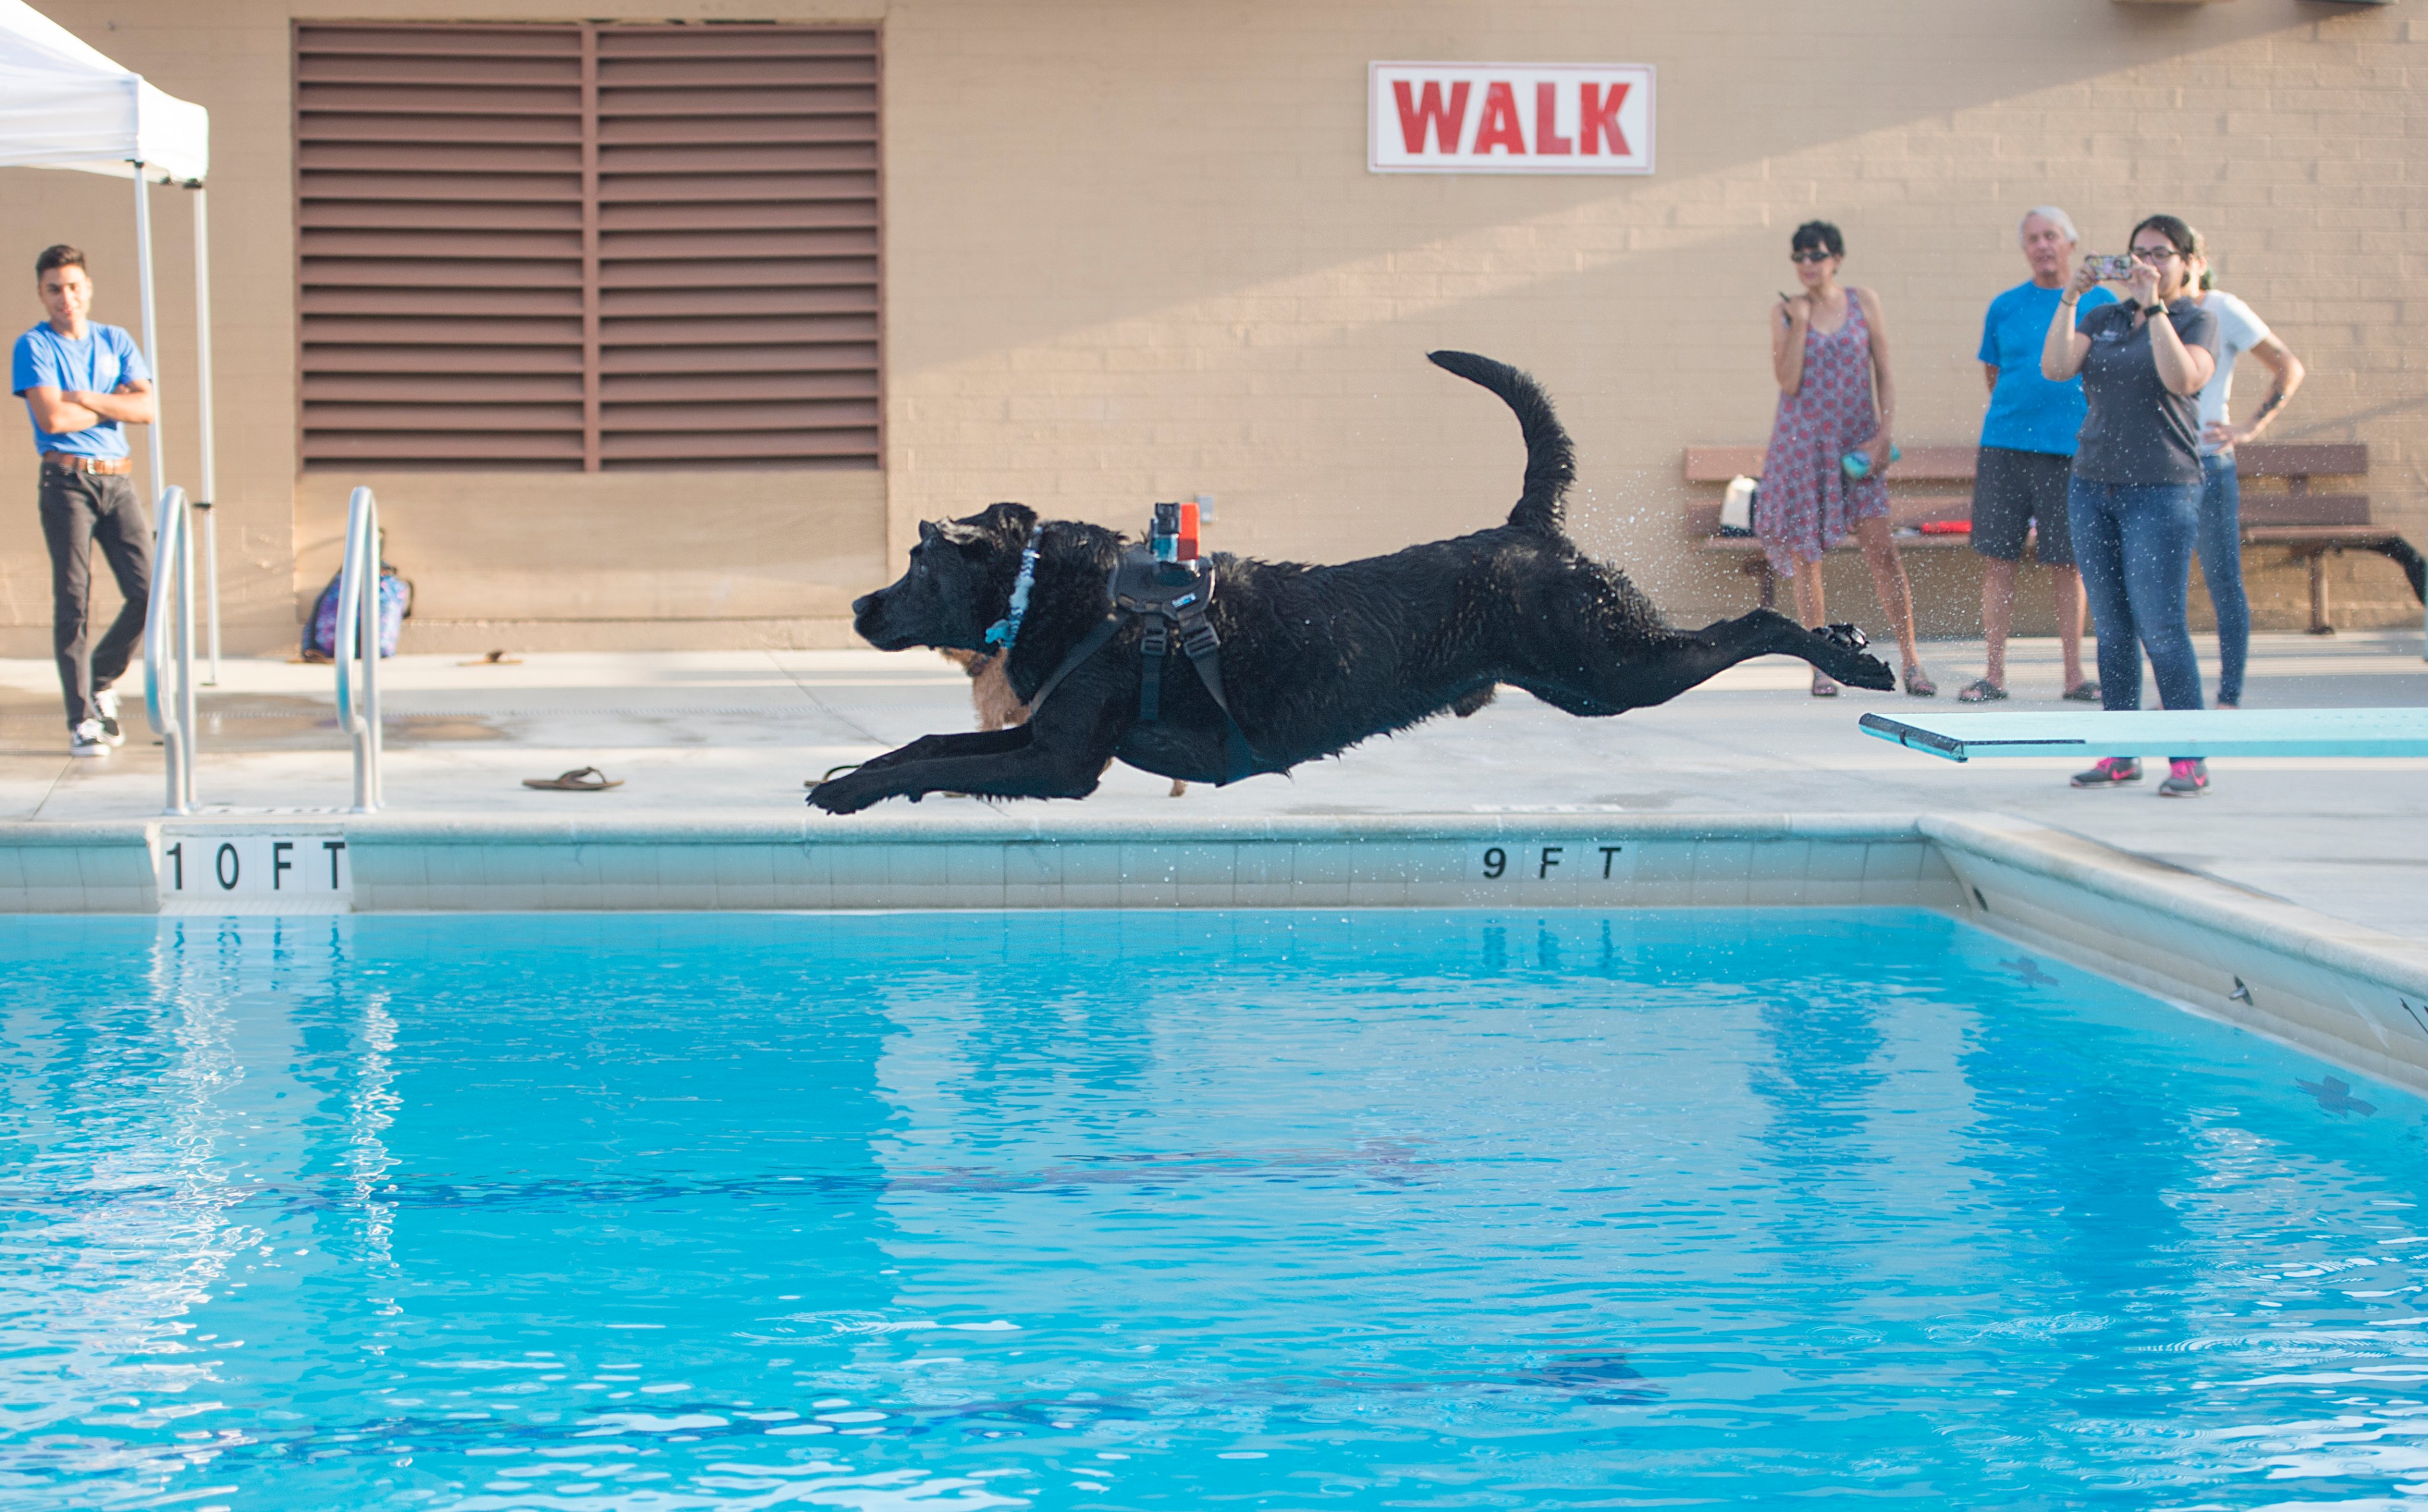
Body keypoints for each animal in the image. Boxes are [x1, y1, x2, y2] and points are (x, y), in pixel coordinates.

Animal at [816, 349, 1893, 815]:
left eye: (915, 563)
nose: (857, 606)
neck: (1057, 595)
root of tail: (1526, 525)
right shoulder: (1042, 740)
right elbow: (930, 744)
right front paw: (846, 775)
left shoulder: (1061, 758)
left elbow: (947, 759)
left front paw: (850, 791)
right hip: (1589, 673)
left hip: (1608, 668)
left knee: (1753, 622)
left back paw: (1852, 658)